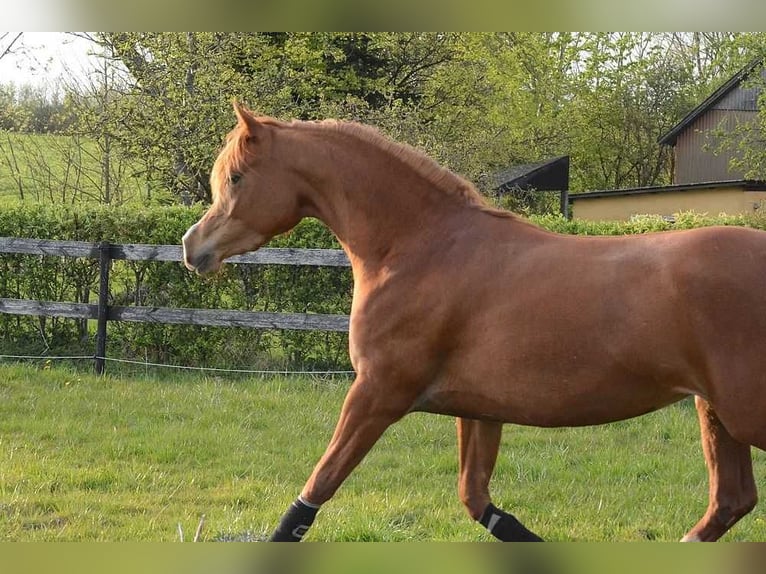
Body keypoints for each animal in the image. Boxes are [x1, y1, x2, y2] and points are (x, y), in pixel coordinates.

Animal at [184, 104, 766, 544]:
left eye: (235, 177)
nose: (193, 247)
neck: (422, 247)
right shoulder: (480, 410)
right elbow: (475, 497)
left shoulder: (377, 393)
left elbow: (317, 489)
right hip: (715, 412)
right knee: (731, 501)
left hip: (742, 412)